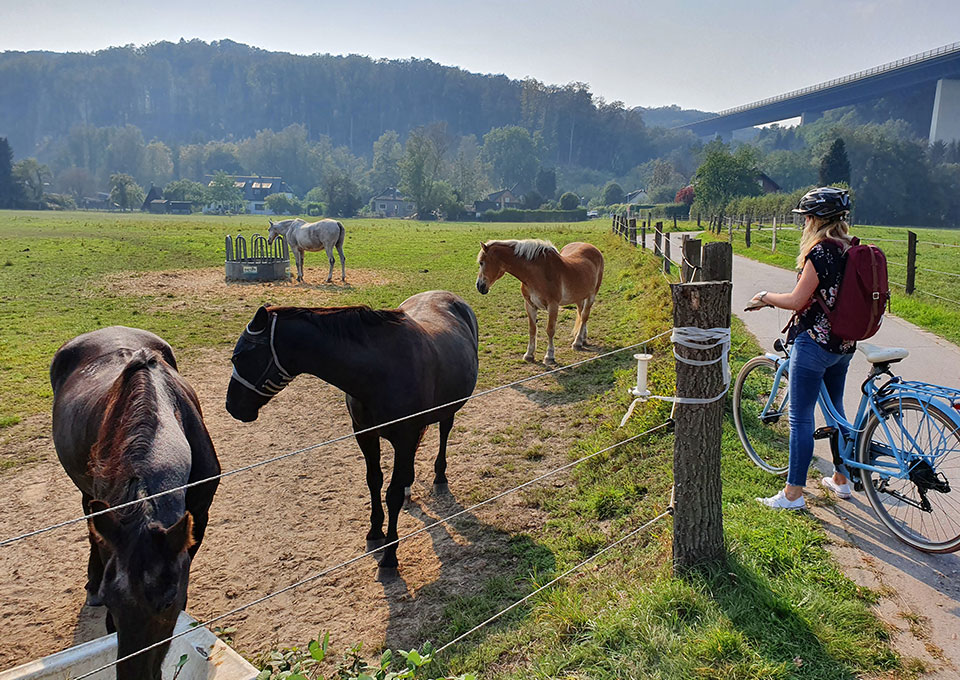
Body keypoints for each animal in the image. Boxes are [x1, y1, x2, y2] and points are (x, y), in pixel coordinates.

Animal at [226, 290, 480, 580]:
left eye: (240, 357)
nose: (232, 406)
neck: (379, 371)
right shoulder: (364, 434)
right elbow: (374, 481)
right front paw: (375, 532)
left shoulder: (404, 437)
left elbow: (391, 493)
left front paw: (389, 557)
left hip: (448, 410)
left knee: (444, 433)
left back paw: (439, 476)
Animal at [476, 240, 604, 366]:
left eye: (481, 262)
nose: (479, 286)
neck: (538, 273)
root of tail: (593, 248)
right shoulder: (530, 305)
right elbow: (532, 330)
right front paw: (529, 355)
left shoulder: (553, 305)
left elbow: (550, 330)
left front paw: (549, 356)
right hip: (579, 297)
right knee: (581, 315)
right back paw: (583, 338)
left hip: (592, 295)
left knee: (584, 316)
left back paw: (577, 342)